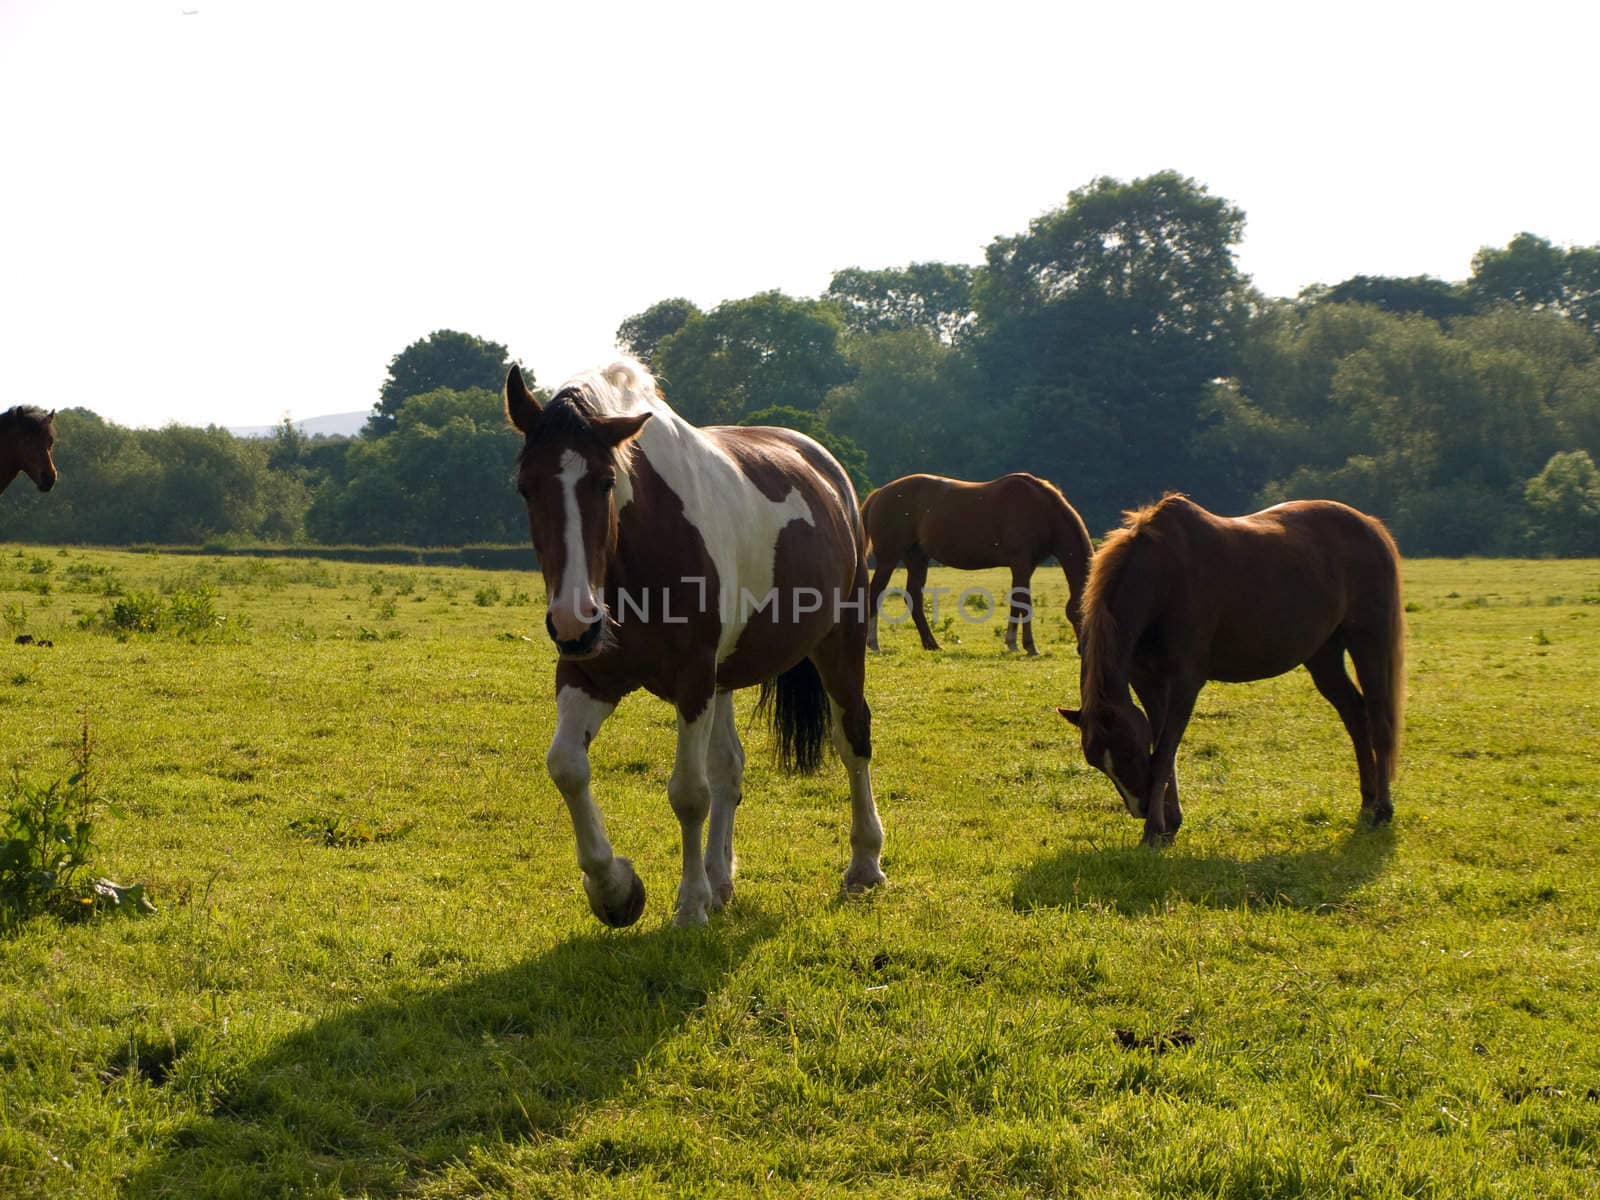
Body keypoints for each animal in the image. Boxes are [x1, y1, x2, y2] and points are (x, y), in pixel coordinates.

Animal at [505, 356, 889, 928]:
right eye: (525, 488)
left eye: (605, 482)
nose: (575, 620)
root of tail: (827, 469)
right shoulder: (588, 674)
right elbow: (566, 767)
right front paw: (615, 889)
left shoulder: (692, 679)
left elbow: (688, 793)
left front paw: (688, 907)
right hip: (723, 678)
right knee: (728, 767)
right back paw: (719, 880)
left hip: (839, 643)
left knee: (852, 740)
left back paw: (864, 864)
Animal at [864, 473, 1100, 659]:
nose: (1083, 650)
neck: (1042, 510)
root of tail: (879, 493)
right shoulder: (1021, 563)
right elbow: (1024, 602)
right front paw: (1028, 646)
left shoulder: (1026, 566)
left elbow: (1017, 601)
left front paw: (1012, 643)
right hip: (888, 559)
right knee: (875, 593)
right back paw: (873, 643)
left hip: (917, 558)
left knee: (914, 597)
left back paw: (932, 644)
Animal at [1068, 492, 1408, 851]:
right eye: (1098, 762)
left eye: (1129, 752)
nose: (1141, 808)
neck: (1163, 579)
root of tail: (1370, 525)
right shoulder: (1147, 682)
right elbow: (1164, 750)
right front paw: (1168, 824)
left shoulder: (1185, 683)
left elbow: (1163, 755)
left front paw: (1153, 831)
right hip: (1324, 655)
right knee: (1355, 715)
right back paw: (1368, 800)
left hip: (1369, 641)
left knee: (1379, 723)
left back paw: (1382, 810)